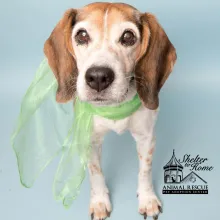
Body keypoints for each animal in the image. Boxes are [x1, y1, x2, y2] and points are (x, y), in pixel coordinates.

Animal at [43, 1, 177, 220]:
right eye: (82, 35)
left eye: (128, 37)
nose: (98, 77)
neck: (114, 107)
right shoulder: (89, 138)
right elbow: (95, 172)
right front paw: (99, 202)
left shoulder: (146, 137)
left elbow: (145, 170)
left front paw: (147, 199)